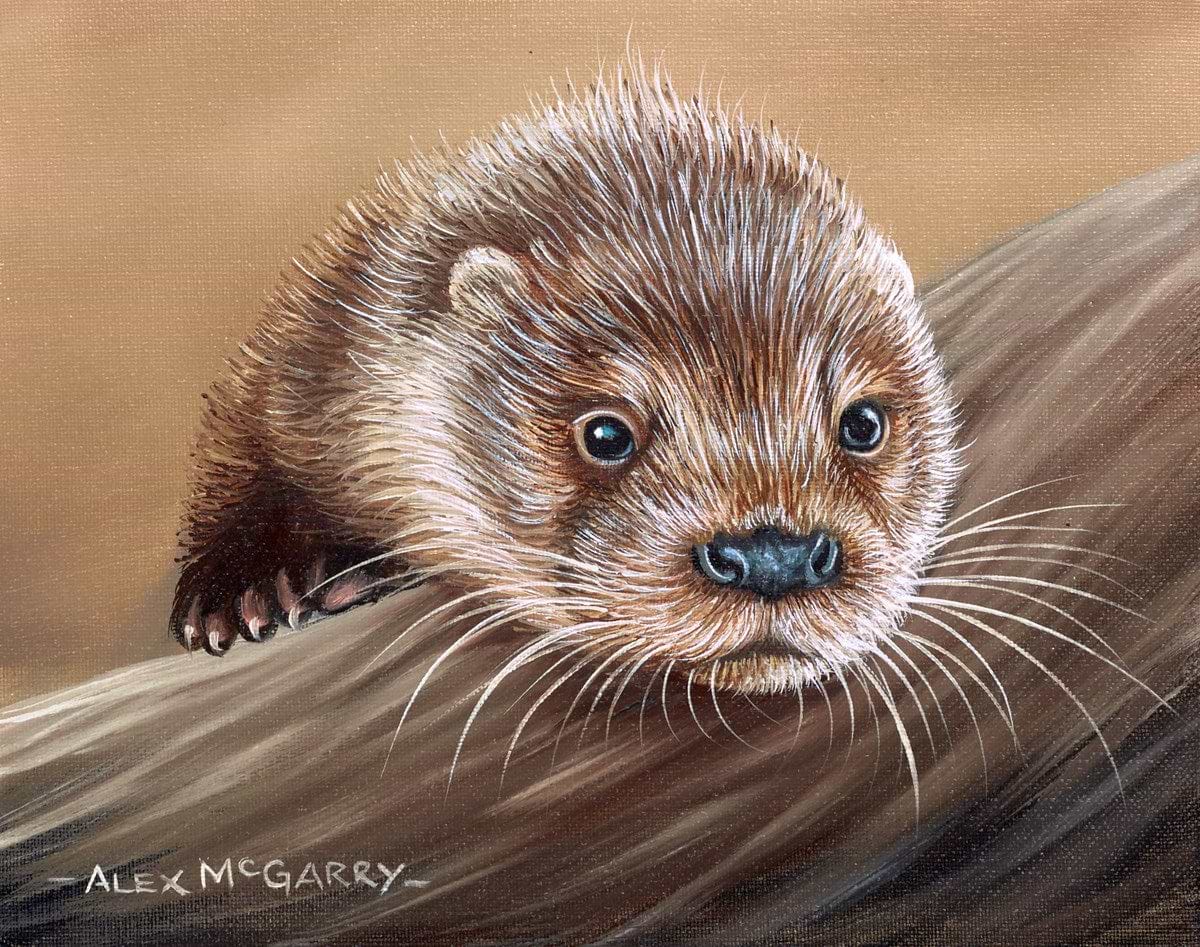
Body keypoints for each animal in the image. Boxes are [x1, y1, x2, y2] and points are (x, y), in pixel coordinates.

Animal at [172, 67, 959, 697]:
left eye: (862, 422)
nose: (775, 557)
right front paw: (241, 588)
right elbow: (242, 451)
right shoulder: (313, 338)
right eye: (606, 432)